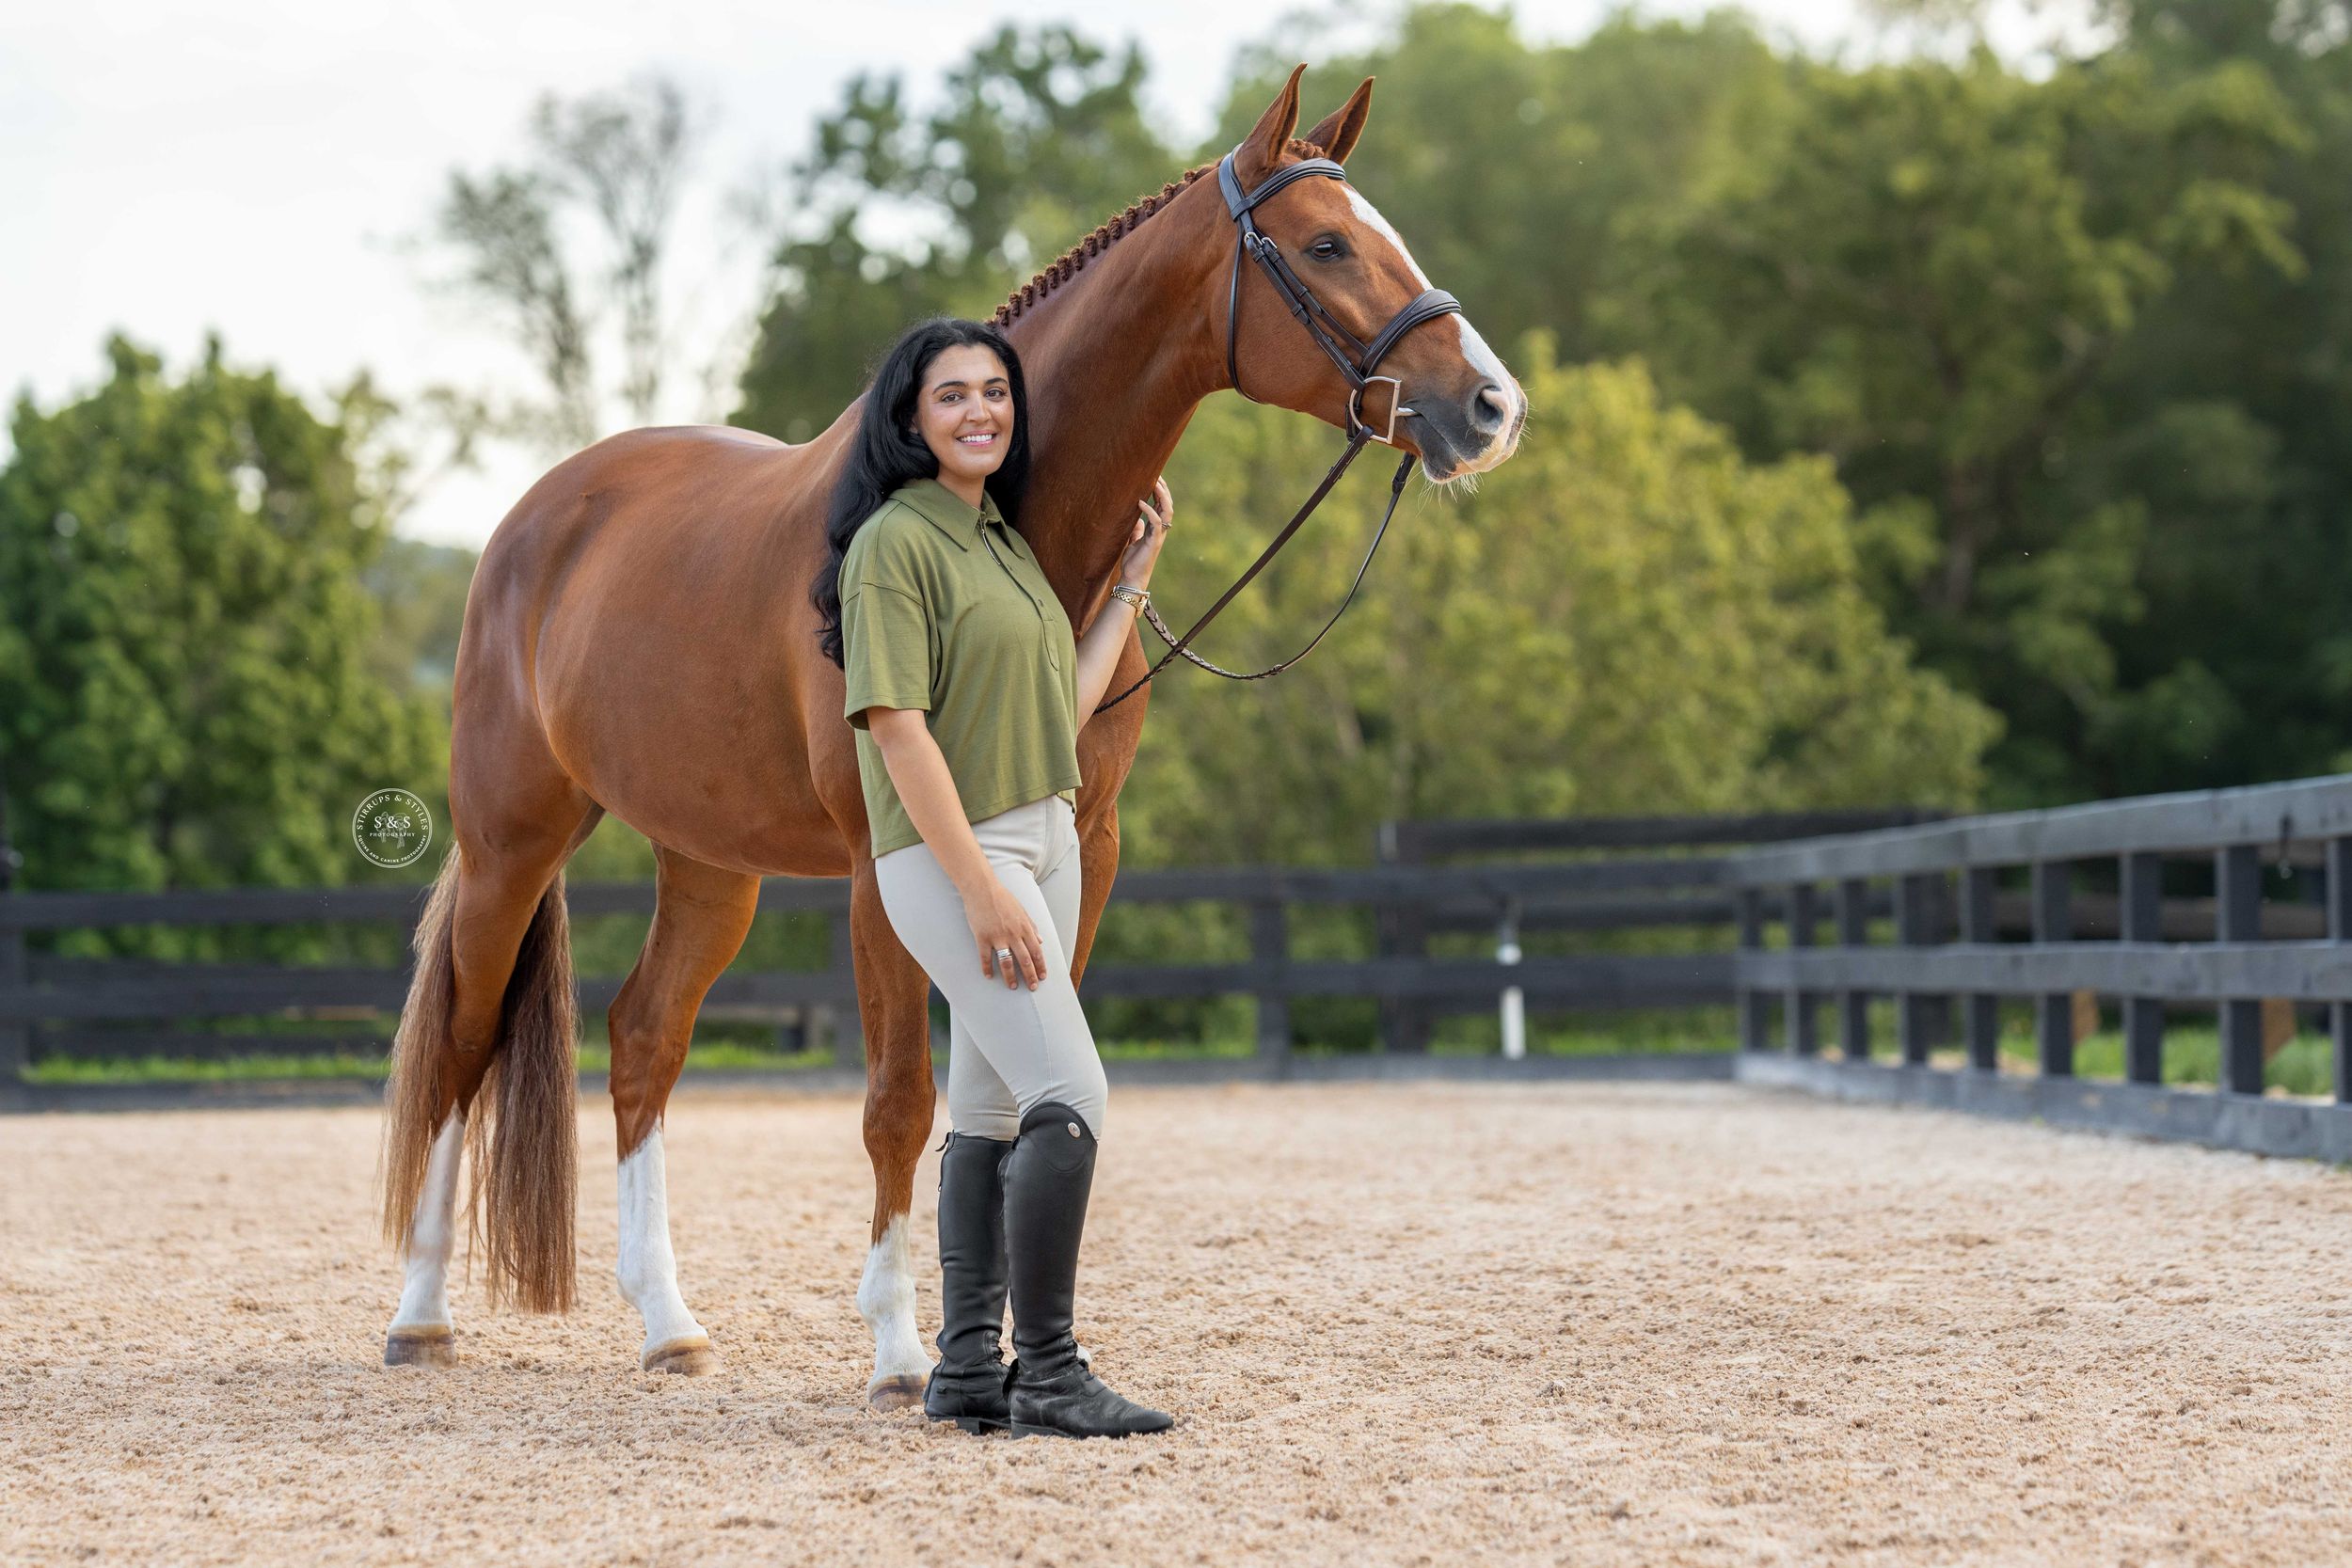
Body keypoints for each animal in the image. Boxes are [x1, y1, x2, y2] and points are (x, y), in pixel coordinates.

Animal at [377, 64, 1527, 1405]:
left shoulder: (1080, 847)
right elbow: (898, 1096)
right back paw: (420, 1313)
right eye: (1329, 243)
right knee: (463, 1036)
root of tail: (534, 517)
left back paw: (668, 1321)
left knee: (643, 1040)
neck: (1015, 536)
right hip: (513, 837)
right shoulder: (892, 861)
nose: (1490, 406)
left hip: (707, 859)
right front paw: (896, 1346)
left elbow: (1037, 1084)